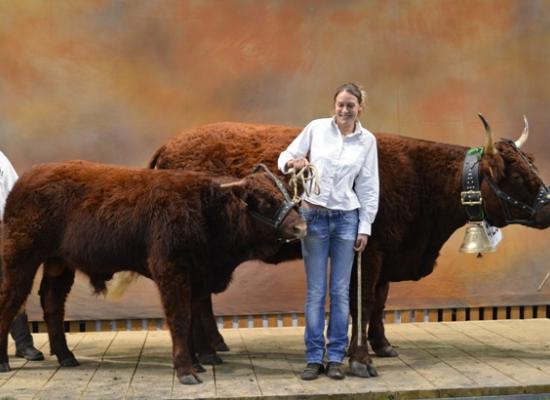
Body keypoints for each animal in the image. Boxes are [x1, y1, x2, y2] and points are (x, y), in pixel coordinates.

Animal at [0, 160, 308, 384]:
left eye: (286, 194)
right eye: (265, 201)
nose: (301, 227)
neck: (204, 209)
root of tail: (26, 179)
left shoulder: (197, 278)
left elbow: (193, 318)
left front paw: (198, 362)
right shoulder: (172, 272)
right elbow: (180, 318)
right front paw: (186, 371)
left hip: (59, 265)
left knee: (53, 305)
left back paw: (66, 356)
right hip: (20, 260)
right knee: (10, 302)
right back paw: (4, 361)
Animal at [138, 115, 550, 376]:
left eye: (532, 165)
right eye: (515, 175)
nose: (549, 205)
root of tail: (170, 145)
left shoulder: (387, 256)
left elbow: (379, 303)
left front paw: (382, 346)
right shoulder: (372, 253)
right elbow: (361, 302)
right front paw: (360, 358)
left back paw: (214, 347)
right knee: (197, 296)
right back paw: (207, 353)